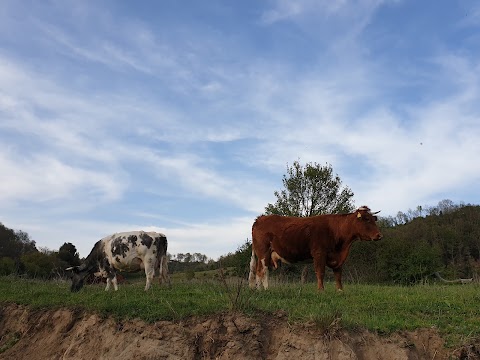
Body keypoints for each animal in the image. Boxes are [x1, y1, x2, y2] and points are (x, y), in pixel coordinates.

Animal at [248, 207, 382, 292]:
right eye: (366, 219)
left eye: (373, 219)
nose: (379, 235)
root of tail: (260, 218)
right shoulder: (319, 253)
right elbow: (320, 272)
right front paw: (321, 290)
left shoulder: (337, 257)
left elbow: (338, 275)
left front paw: (340, 291)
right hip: (263, 252)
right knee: (262, 271)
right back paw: (264, 289)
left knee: (260, 270)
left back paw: (260, 289)